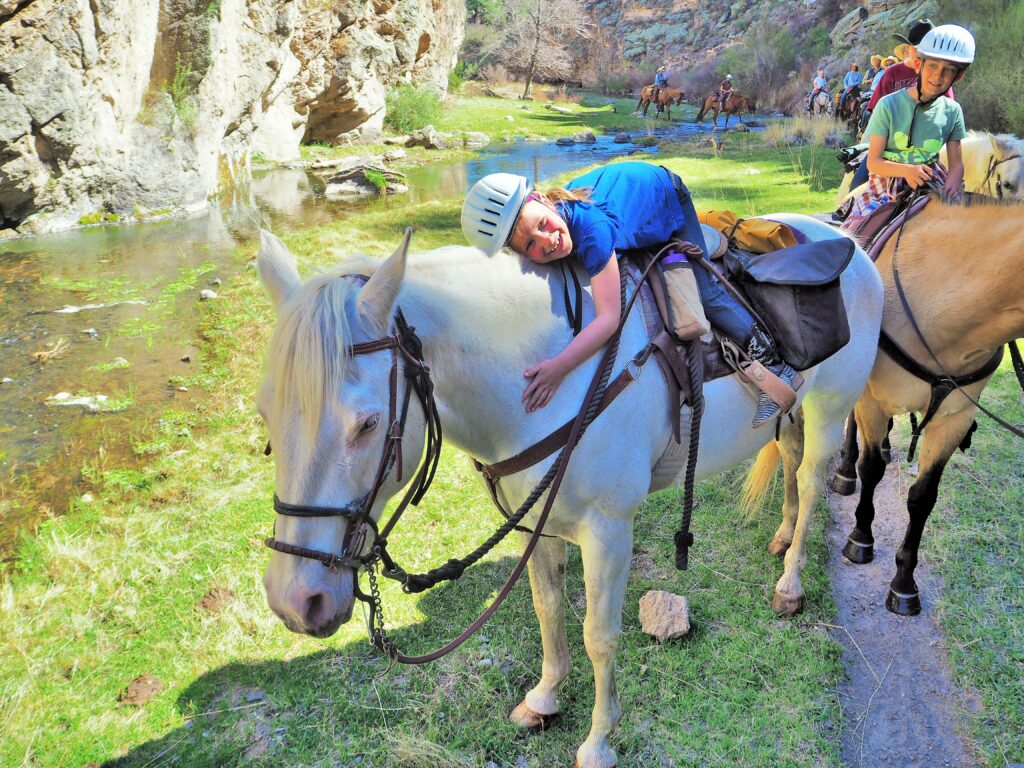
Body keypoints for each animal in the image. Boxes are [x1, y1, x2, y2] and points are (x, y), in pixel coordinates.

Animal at [256, 219, 883, 768]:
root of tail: (847, 239)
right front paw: (544, 698)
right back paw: (781, 536)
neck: (546, 376)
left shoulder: (608, 532)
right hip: (790, 414)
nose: (296, 601)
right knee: (792, 465)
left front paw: (599, 741)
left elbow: (599, 635)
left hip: (829, 412)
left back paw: (790, 583)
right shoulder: (537, 524)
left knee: (812, 482)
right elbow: (549, 609)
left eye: (366, 424)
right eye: (265, 415)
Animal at [745, 200, 1024, 618]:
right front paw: (860, 539)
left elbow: (923, 496)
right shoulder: (872, 401)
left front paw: (904, 584)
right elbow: (871, 468)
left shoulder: (954, 419)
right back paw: (841, 475)